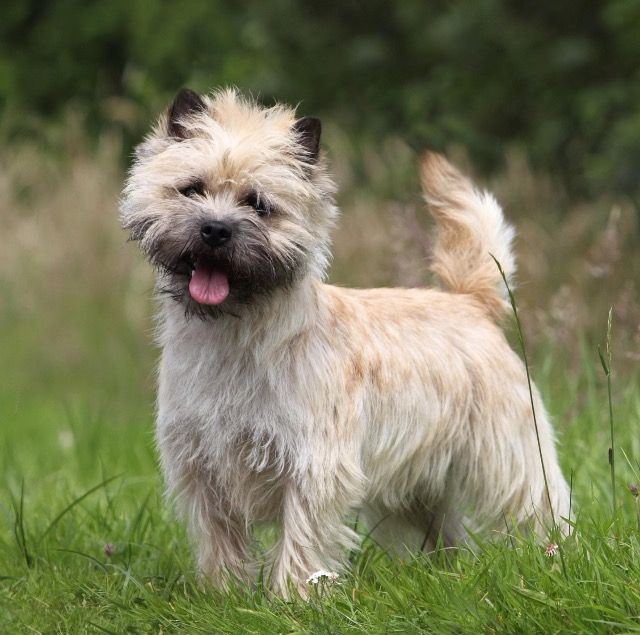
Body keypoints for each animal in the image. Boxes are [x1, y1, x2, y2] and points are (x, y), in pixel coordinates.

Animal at [120, 88, 568, 596]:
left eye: (259, 204)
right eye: (192, 188)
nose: (215, 229)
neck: (233, 333)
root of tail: (469, 301)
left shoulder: (314, 465)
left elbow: (301, 535)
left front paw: (290, 597)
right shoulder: (202, 468)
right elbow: (220, 540)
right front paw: (224, 594)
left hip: (508, 456)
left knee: (539, 507)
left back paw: (555, 561)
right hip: (415, 486)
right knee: (448, 533)